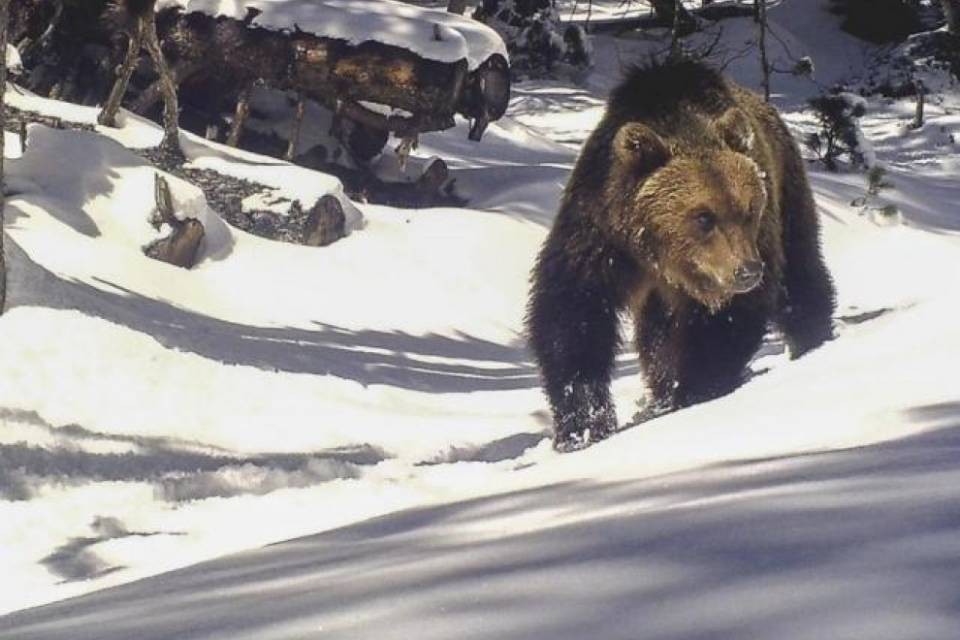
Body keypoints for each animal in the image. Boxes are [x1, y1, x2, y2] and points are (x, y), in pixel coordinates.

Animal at [527, 60, 836, 451]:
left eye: (748, 209)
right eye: (704, 217)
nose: (747, 271)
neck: (658, 251)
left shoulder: (756, 239)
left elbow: (725, 323)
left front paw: (695, 390)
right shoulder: (600, 233)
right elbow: (572, 314)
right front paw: (582, 425)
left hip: (787, 192)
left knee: (800, 272)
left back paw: (813, 338)